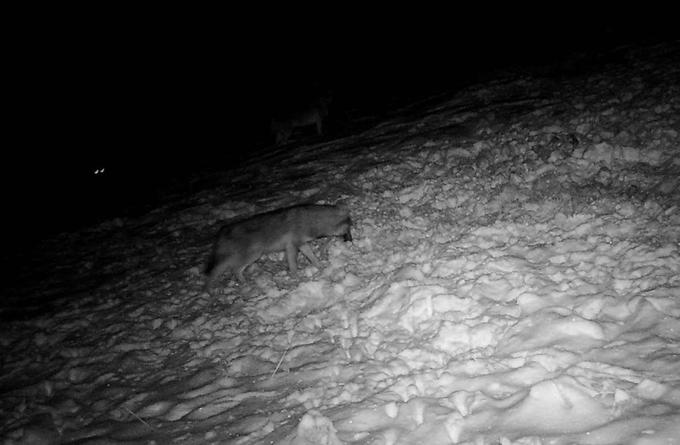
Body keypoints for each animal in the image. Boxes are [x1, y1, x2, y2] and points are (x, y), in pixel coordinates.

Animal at [203, 204, 354, 290]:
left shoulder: (300, 245)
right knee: (233, 270)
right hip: (253, 255)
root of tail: (223, 231)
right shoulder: (293, 246)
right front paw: (296, 278)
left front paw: (321, 267)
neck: (311, 221)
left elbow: (312, 258)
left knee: (221, 272)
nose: (351, 241)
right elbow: (294, 266)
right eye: (349, 229)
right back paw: (242, 285)